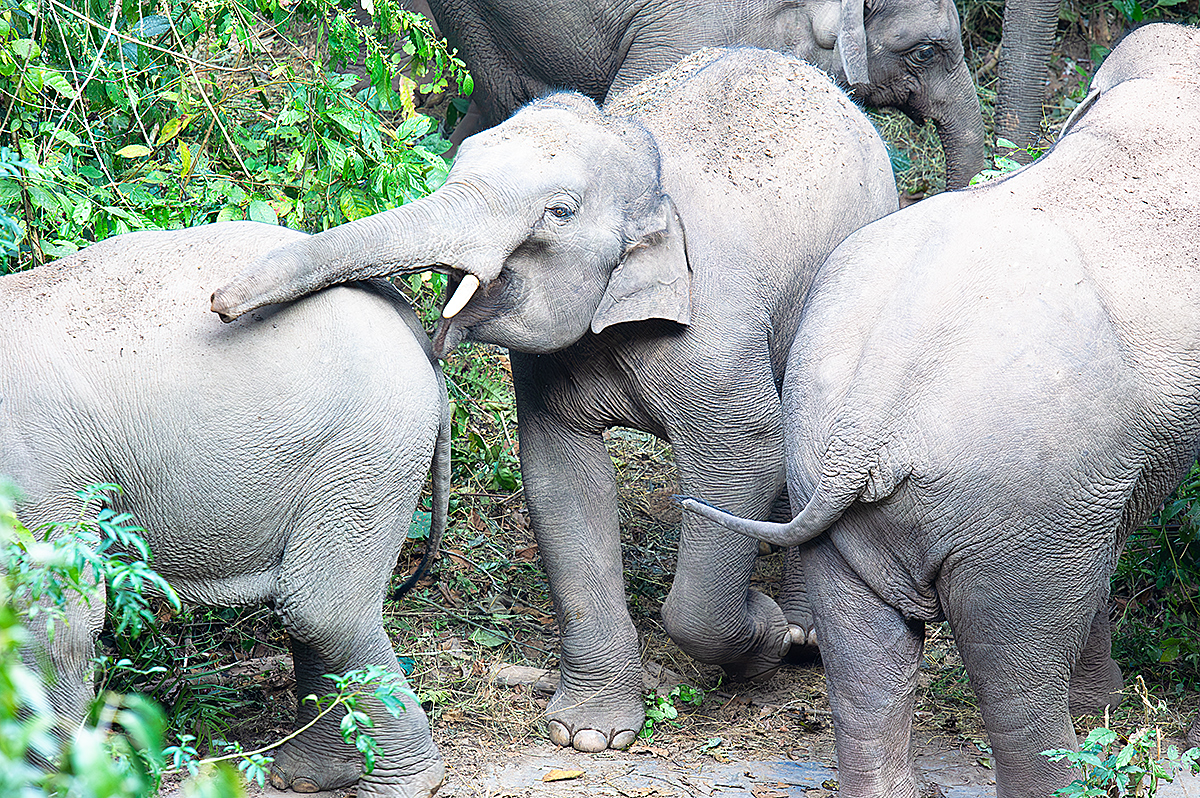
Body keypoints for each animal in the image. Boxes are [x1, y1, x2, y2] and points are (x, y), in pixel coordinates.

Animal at [1, 220, 451, 796]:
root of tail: (407, 316)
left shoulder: (37, 470)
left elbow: (53, 619)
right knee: (307, 607)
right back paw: (309, 775)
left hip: (368, 445)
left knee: (322, 610)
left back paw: (410, 784)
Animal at [208, 51, 902, 753]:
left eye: (559, 213)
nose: (218, 301)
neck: (643, 160)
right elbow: (559, 475)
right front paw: (589, 737)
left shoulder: (716, 328)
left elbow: (745, 455)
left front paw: (767, 636)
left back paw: (804, 632)